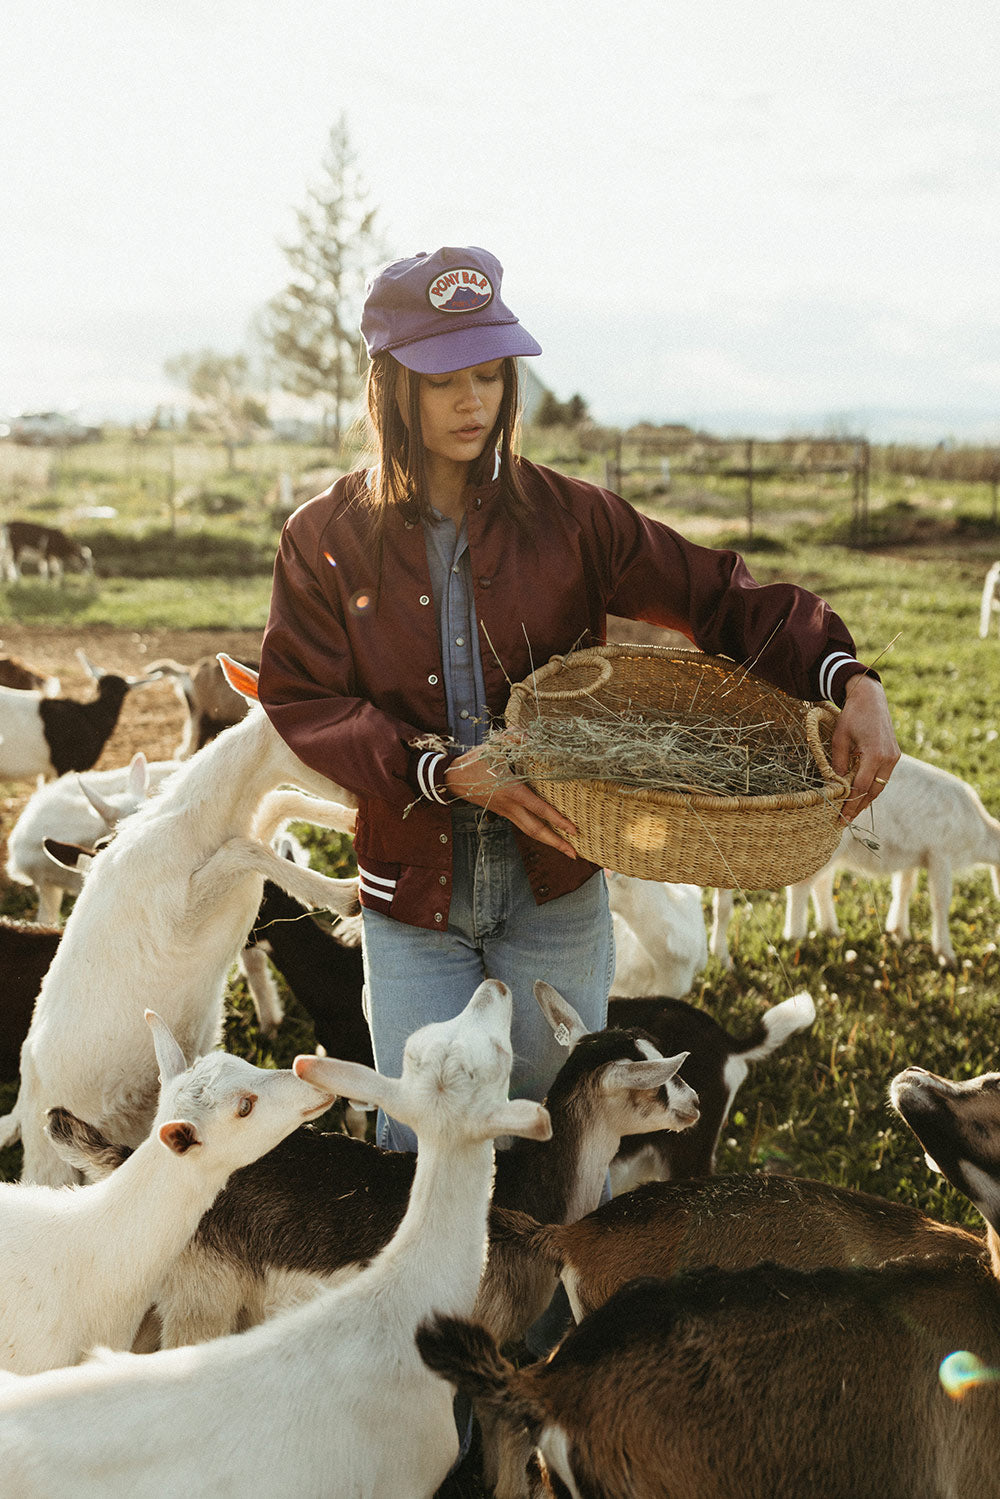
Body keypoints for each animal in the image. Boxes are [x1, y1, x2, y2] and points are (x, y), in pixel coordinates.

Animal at [0, 689, 359, 1181]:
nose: (362, 796)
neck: (187, 828)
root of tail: (27, 1101)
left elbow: (277, 806)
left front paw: (349, 828)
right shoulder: (178, 911)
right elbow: (243, 848)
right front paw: (345, 895)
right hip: (51, 1159)